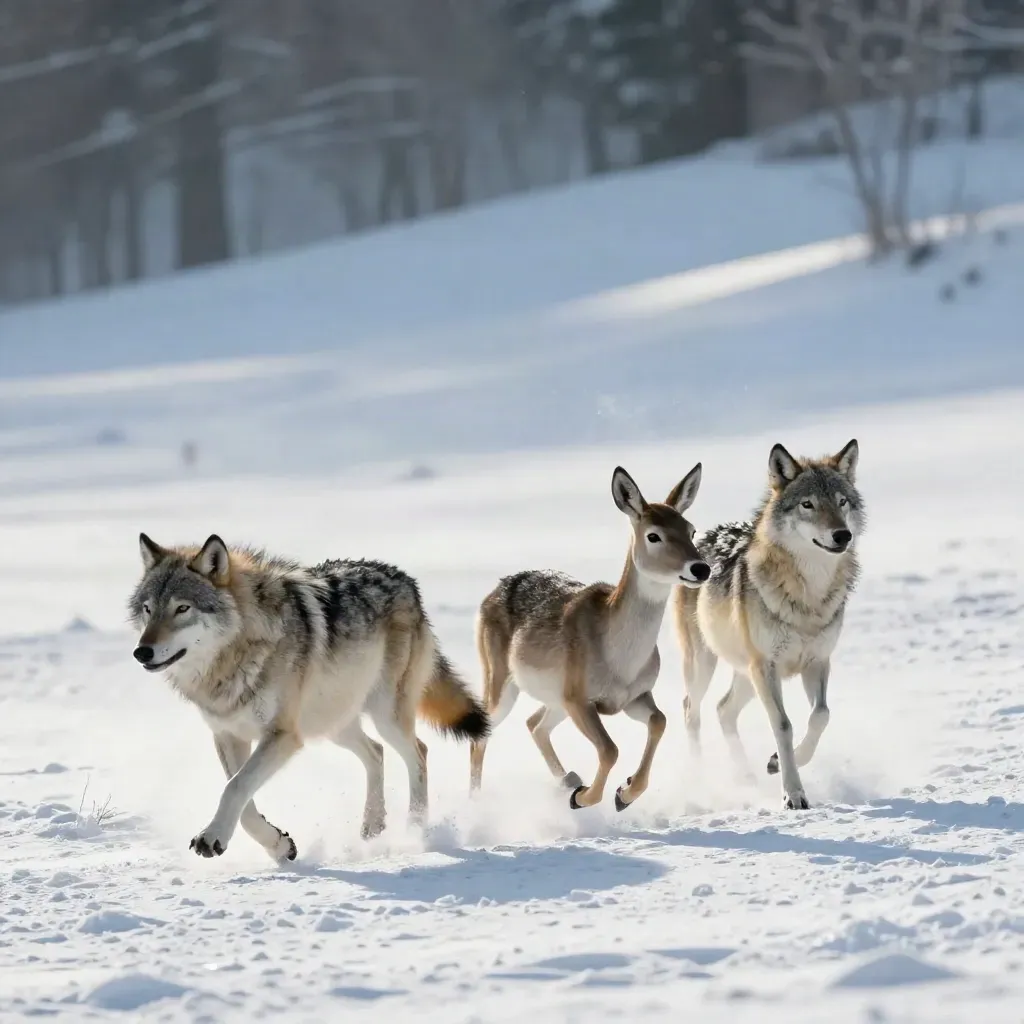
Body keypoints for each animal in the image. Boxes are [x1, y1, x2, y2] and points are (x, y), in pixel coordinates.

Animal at [128, 534, 488, 862]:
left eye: (182, 608)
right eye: (148, 610)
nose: (141, 652)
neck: (236, 657)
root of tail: (406, 581)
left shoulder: (283, 735)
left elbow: (235, 788)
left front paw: (212, 836)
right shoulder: (228, 736)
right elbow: (244, 802)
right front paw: (278, 846)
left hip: (384, 715)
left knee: (418, 752)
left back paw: (414, 831)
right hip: (333, 723)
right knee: (376, 752)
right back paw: (373, 826)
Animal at [470, 464, 709, 811]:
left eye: (691, 530)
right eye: (653, 535)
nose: (700, 568)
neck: (619, 661)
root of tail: (491, 593)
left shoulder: (634, 695)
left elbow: (660, 721)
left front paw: (624, 792)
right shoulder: (578, 696)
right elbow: (610, 749)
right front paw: (584, 798)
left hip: (552, 696)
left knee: (534, 724)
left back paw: (567, 779)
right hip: (499, 676)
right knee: (483, 733)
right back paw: (477, 801)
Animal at [673, 439, 863, 810]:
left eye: (841, 502)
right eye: (807, 504)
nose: (842, 535)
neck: (808, 597)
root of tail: (702, 536)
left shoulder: (817, 662)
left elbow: (821, 715)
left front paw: (778, 763)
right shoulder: (767, 666)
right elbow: (784, 725)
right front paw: (794, 794)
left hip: (746, 674)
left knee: (723, 709)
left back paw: (745, 775)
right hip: (708, 663)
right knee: (691, 710)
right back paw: (699, 777)